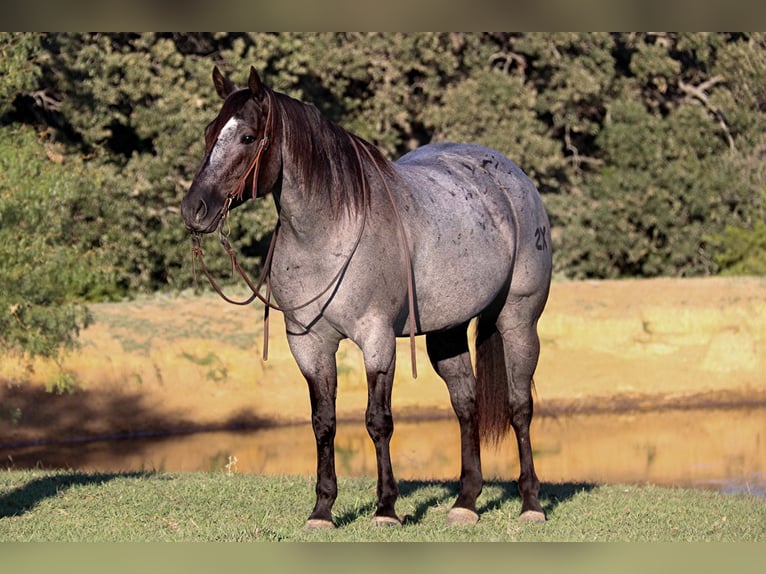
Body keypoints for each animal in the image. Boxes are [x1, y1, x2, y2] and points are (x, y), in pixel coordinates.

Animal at [182, 67, 552, 532]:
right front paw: (322, 510)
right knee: (466, 405)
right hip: (446, 334)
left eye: (248, 137)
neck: (329, 232)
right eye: (209, 132)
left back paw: (531, 503)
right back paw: (465, 502)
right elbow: (323, 422)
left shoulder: (376, 339)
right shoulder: (309, 345)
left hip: (519, 321)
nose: (193, 209)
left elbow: (378, 421)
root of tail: (512, 178)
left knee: (520, 407)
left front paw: (386, 508)